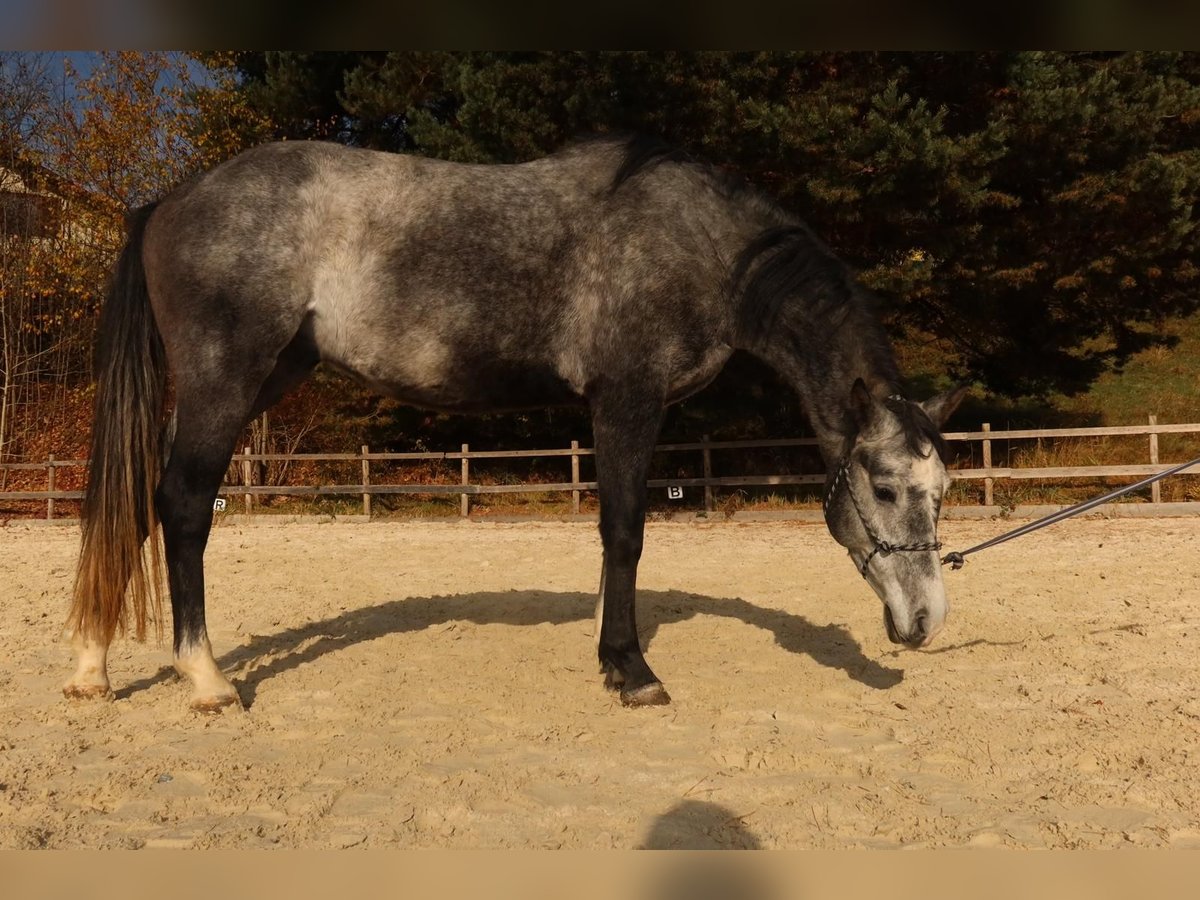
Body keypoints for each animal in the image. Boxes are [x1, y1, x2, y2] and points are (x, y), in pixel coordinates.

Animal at [64, 134, 966, 712]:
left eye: (945, 489)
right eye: (884, 487)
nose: (926, 623)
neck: (704, 250)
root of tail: (170, 199)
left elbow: (610, 541)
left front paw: (607, 649)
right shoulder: (626, 400)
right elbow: (625, 533)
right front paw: (631, 670)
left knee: (134, 506)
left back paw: (92, 669)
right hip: (225, 381)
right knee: (182, 506)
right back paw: (206, 680)